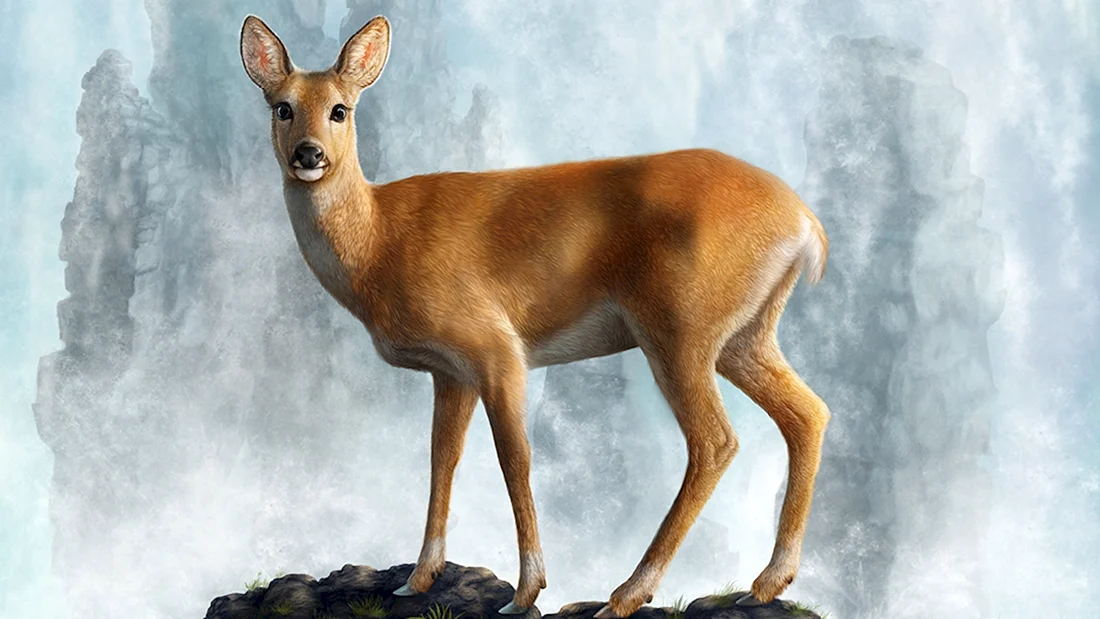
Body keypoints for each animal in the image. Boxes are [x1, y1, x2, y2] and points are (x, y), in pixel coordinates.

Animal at [240, 14, 831, 618]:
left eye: (341, 109)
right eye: (282, 107)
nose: (308, 154)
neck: (381, 240)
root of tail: (807, 224)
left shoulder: (495, 345)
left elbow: (514, 458)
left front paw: (526, 590)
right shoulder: (450, 371)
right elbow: (441, 459)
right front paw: (419, 579)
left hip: (680, 326)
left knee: (716, 440)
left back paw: (627, 593)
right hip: (745, 334)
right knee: (808, 413)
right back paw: (768, 581)